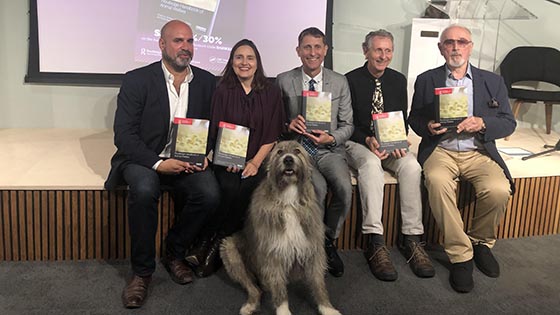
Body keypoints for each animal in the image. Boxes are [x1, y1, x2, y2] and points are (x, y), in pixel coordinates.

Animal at [220, 142, 342, 315]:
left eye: (297, 151)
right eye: (279, 152)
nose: (288, 159)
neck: (288, 199)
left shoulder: (313, 249)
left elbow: (318, 283)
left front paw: (327, 308)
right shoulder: (273, 252)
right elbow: (278, 287)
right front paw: (283, 310)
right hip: (230, 251)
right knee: (253, 288)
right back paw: (250, 305)